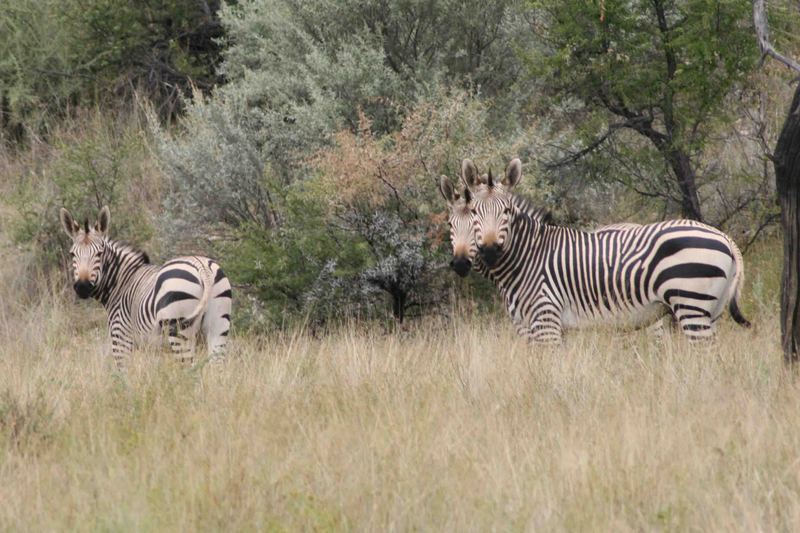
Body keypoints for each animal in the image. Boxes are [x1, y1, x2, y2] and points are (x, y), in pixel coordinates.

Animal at [59, 206, 231, 368]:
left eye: (99, 254)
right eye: (72, 254)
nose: (82, 287)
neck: (122, 282)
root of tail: (202, 266)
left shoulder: (120, 339)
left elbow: (123, 375)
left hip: (179, 329)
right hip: (218, 326)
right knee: (216, 367)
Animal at [456, 156, 752, 342]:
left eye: (506, 211)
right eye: (475, 212)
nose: (490, 250)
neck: (528, 257)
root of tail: (725, 238)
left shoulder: (545, 318)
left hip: (691, 304)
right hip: (710, 309)